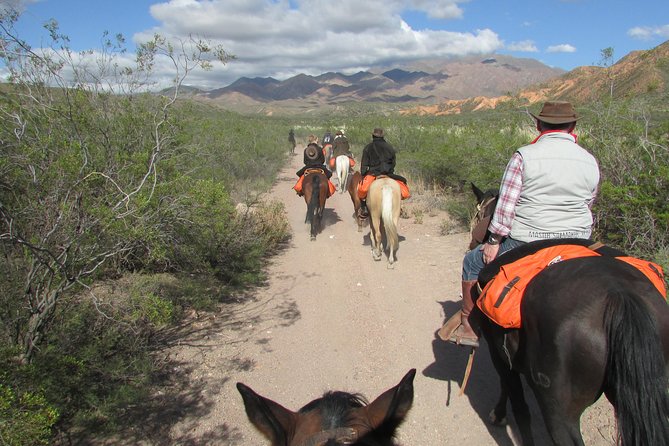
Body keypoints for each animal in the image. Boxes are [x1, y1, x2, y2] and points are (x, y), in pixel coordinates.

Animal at [464, 183, 668, 444]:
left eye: (480, 213)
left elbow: (518, 405)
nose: (474, 244)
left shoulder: (498, 353)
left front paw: (499, 415)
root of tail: (619, 295)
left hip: (558, 407)